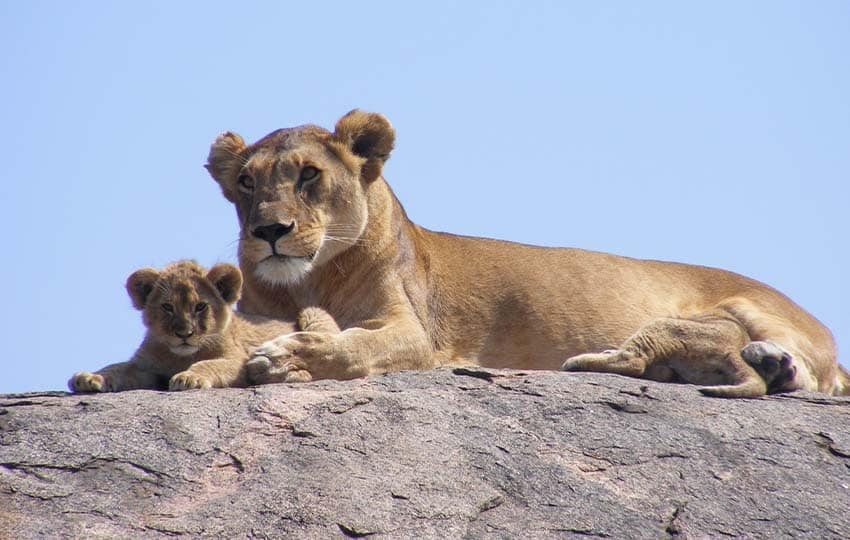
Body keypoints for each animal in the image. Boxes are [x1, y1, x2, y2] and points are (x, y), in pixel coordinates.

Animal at [68, 260, 339, 393]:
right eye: (167, 307)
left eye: (200, 306)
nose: (184, 334)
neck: (180, 356)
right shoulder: (146, 368)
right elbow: (116, 367)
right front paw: (89, 378)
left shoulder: (238, 361)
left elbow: (209, 364)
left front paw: (189, 377)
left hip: (312, 313)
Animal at [204, 109, 848, 398]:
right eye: (247, 183)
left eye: (309, 175)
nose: (269, 229)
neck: (308, 281)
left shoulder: (414, 332)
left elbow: (355, 346)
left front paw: (288, 356)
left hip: (757, 308)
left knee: (817, 376)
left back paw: (776, 364)